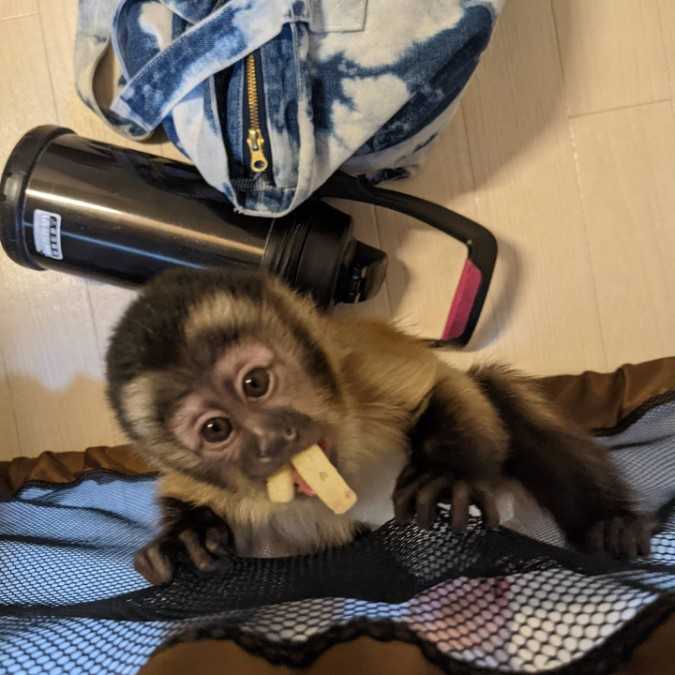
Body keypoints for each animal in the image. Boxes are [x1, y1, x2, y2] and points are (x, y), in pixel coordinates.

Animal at [105, 267, 656, 585]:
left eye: (255, 382)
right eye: (216, 430)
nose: (272, 441)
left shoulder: (360, 362)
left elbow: (440, 384)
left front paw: (445, 473)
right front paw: (188, 536)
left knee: (497, 393)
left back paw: (607, 526)